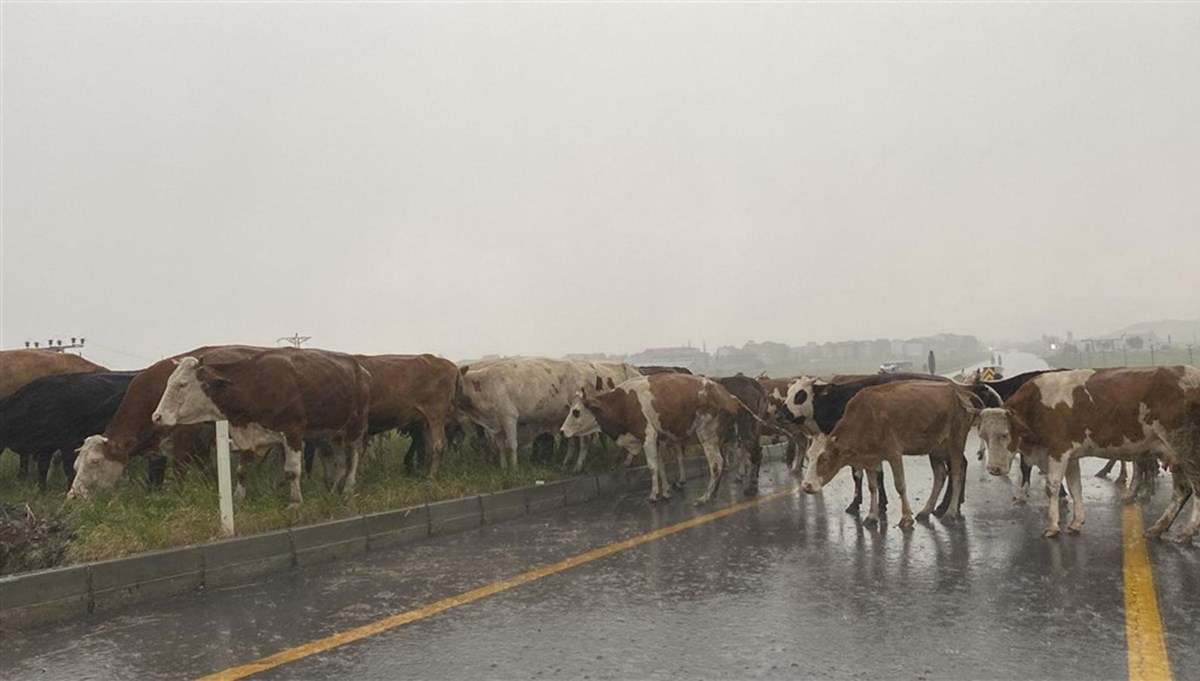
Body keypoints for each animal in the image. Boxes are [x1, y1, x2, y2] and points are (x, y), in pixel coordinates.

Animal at [559, 371, 739, 505]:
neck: (622, 404)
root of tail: (725, 394)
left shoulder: (648, 437)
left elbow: (652, 466)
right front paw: (666, 492)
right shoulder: (659, 439)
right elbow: (661, 466)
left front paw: (654, 495)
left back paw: (706, 497)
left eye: (576, 412)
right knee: (724, 461)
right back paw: (713, 493)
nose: (561, 431)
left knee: (716, 463)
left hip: (707, 435)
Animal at [979, 364, 1200, 539]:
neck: (1036, 404)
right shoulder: (1071, 455)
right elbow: (1075, 487)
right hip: (1174, 453)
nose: (993, 469)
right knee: (1182, 489)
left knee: (1195, 487)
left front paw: (1052, 526)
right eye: (984, 436)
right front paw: (1076, 522)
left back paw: (1187, 531)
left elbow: (1052, 487)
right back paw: (1159, 527)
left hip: (1186, 448)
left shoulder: (1059, 450)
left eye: (1005, 434)